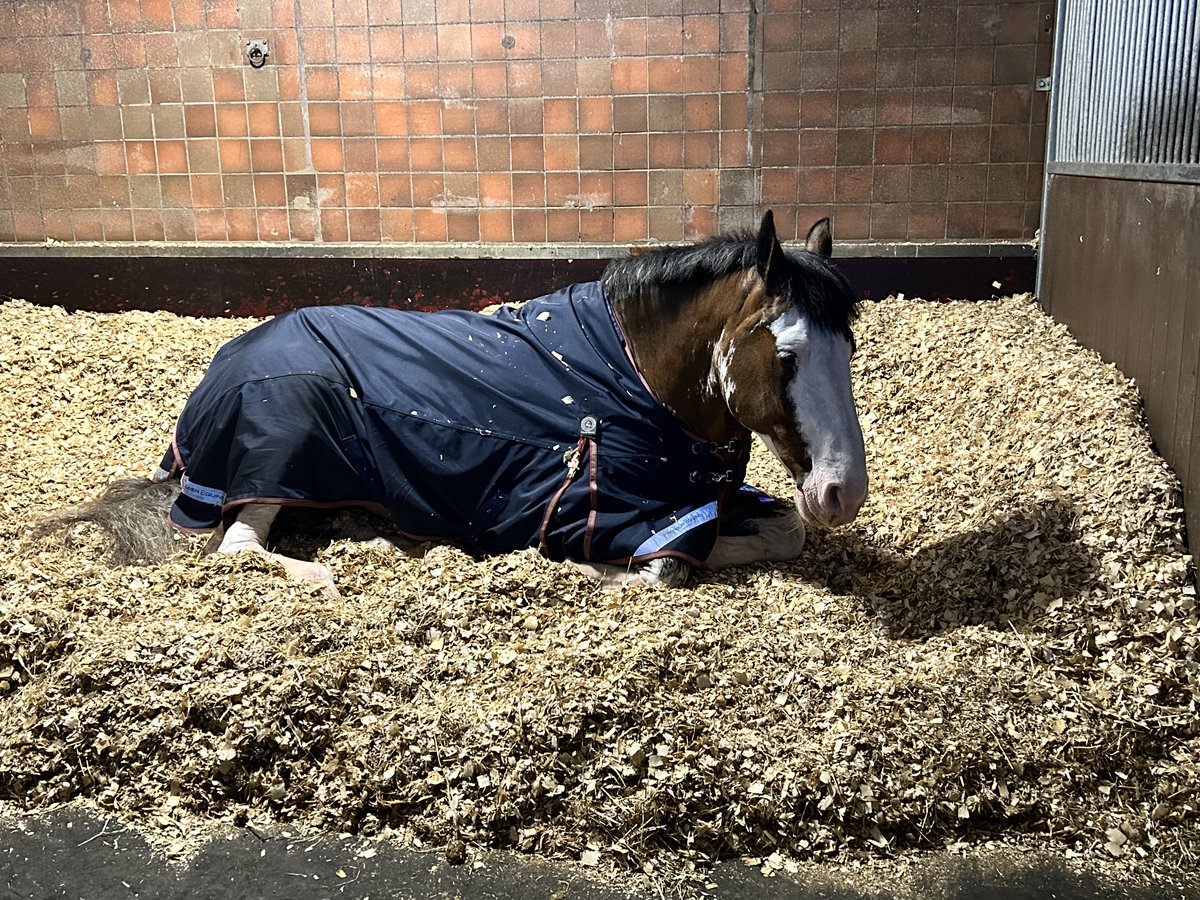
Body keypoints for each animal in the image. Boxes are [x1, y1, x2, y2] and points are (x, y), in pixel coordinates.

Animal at [37, 211, 864, 592]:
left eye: (849, 348)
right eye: (785, 355)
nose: (843, 492)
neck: (631, 382)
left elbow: (782, 533)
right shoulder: (597, 511)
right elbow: (665, 569)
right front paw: (580, 572)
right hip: (276, 453)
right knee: (239, 548)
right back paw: (328, 570)